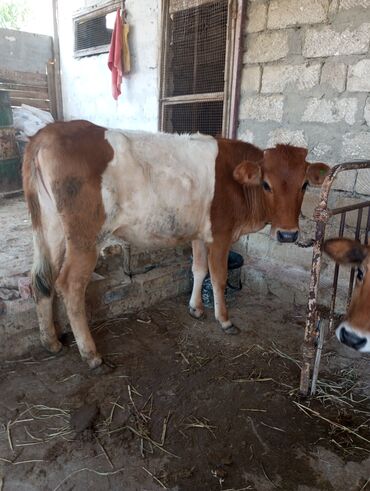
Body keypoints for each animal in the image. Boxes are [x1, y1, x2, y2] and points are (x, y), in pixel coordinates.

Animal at [23, 121, 330, 368]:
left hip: (50, 229)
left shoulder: (199, 234)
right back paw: (91, 355)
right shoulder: (221, 233)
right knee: (70, 285)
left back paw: (51, 341)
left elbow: (198, 269)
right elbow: (218, 276)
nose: (288, 235)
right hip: (85, 237)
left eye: (304, 185)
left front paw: (195, 308)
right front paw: (224, 320)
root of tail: (47, 132)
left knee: (41, 278)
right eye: (266, 184)